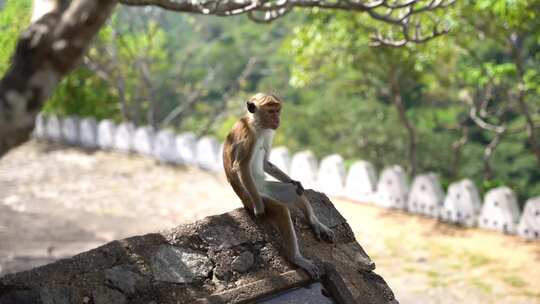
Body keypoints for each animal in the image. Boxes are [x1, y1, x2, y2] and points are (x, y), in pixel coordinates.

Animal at [223, 92, 334, 278]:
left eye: (277, 110)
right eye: (271, 111)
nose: (277, 119)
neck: (257, 125)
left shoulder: (268, 133)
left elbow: (266, 163)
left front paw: (294, 181)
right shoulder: (248, 136)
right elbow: (241, 167)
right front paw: (259, 209)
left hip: (267, 188)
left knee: (293, 192)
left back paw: (314, 223)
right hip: (253, 195)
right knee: (280, 209)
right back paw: (296, 258)